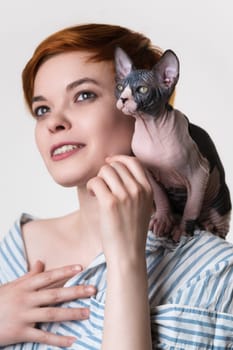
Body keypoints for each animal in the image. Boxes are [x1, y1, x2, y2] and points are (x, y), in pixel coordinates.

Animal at [114, 46, 231, 241]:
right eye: (120, 87)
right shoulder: (148, 172)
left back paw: (210, 226)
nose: (123, 99)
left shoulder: (200, 173)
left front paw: (183, 231)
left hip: (219, 195)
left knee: (218, 222)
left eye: (143, 89)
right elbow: (161, 197)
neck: (150, 129)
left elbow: (191, 207)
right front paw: (162, 220)